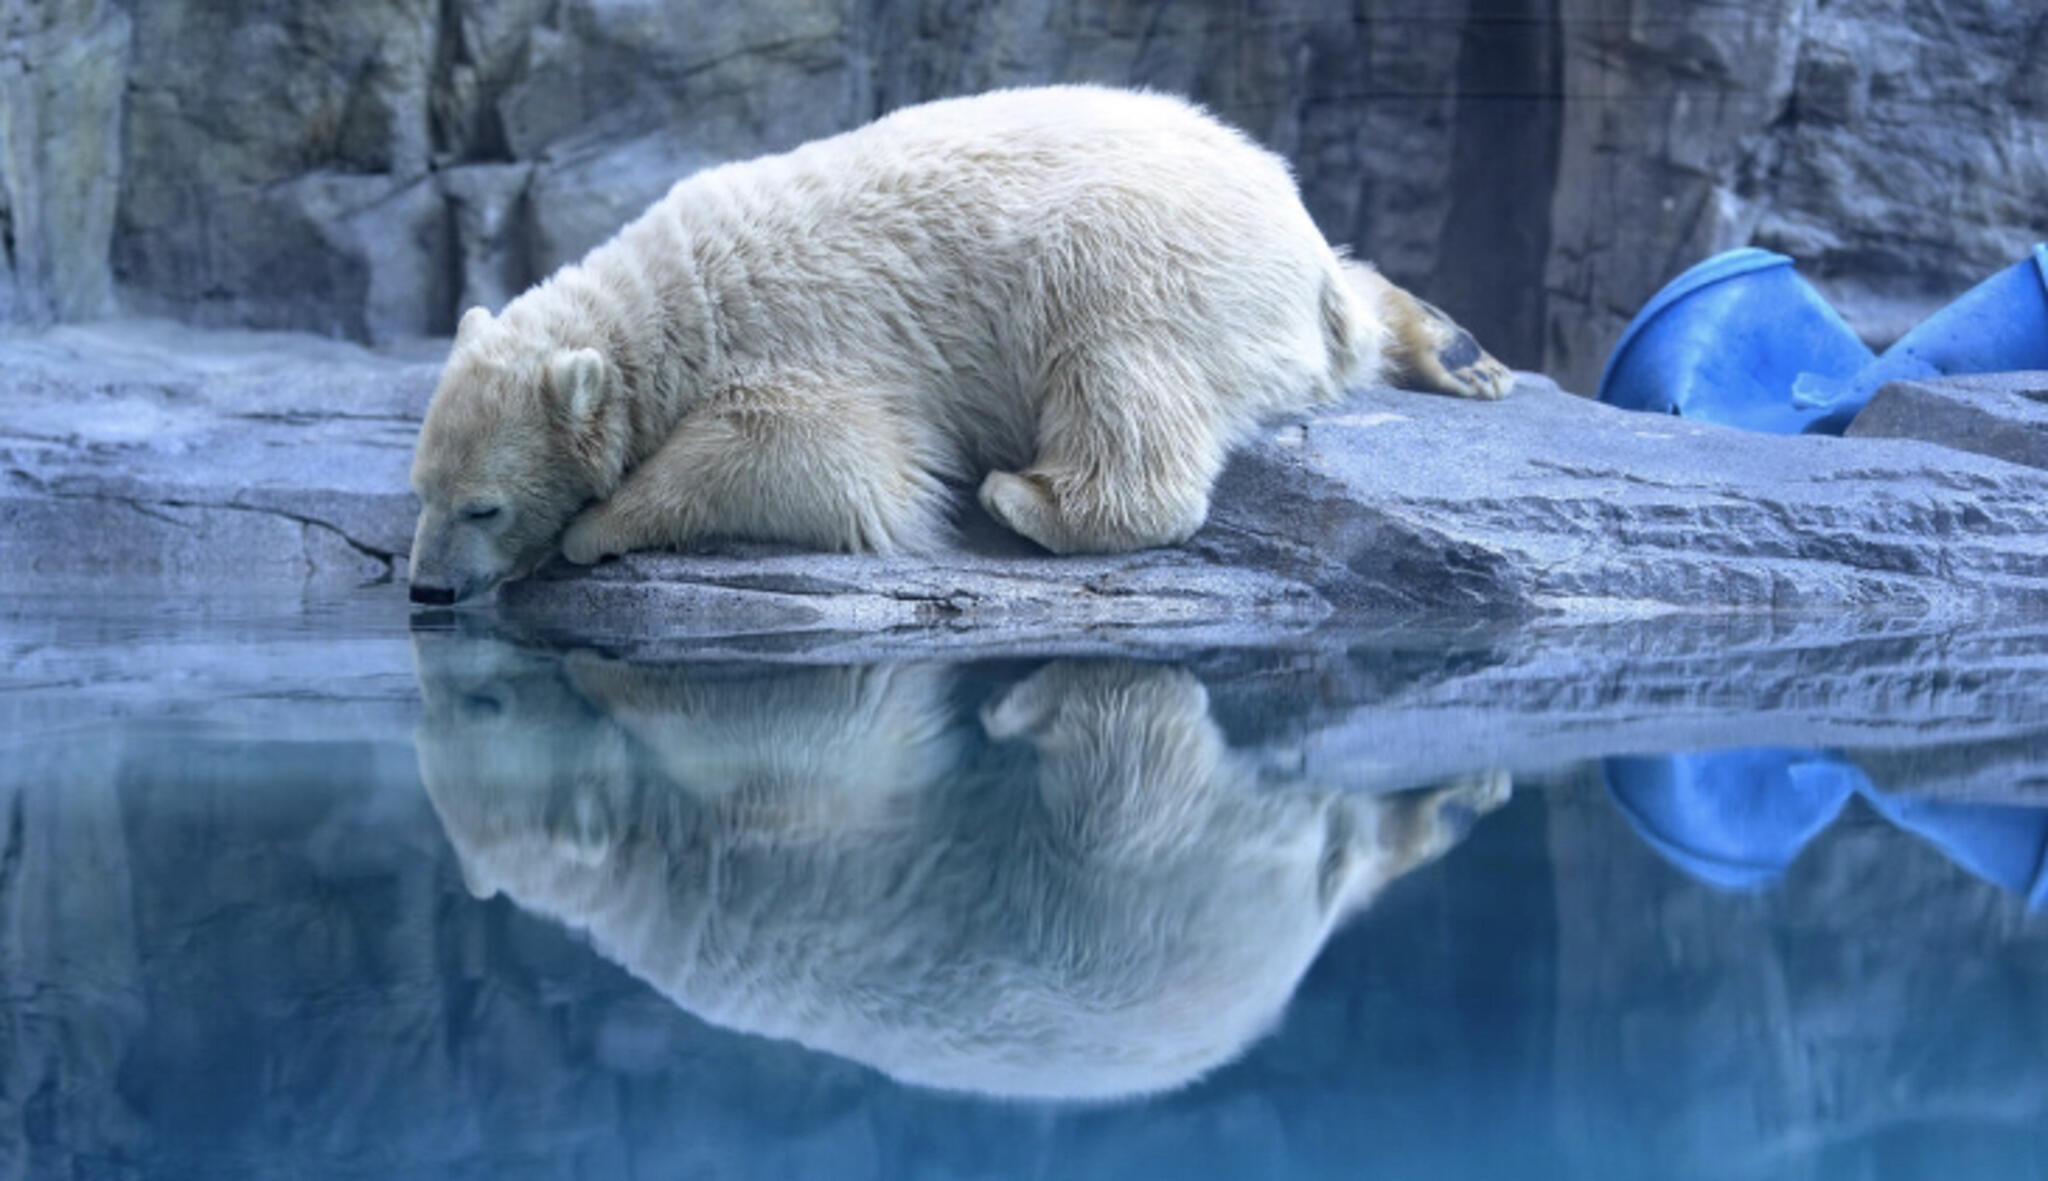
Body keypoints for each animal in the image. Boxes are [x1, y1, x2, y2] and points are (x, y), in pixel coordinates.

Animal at [407, 84, 1515, 597]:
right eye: (418, 490)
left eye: (481, 505)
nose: (424, 587)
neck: (675, 299)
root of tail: (1296, 239)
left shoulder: (803, 337)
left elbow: (827, 462)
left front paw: (600, 524)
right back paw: (1456, 351)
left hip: (1134, 254)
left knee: (1115, 365)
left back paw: (1029, 498)